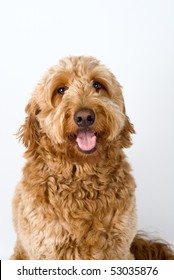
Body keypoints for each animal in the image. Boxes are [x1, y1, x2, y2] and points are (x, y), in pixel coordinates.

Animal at [11, 55, 174, 260]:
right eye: (60, 90)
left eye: (97, 85)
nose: (84, 117)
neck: (82, 175)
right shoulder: (47, 248)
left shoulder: (119, 247)